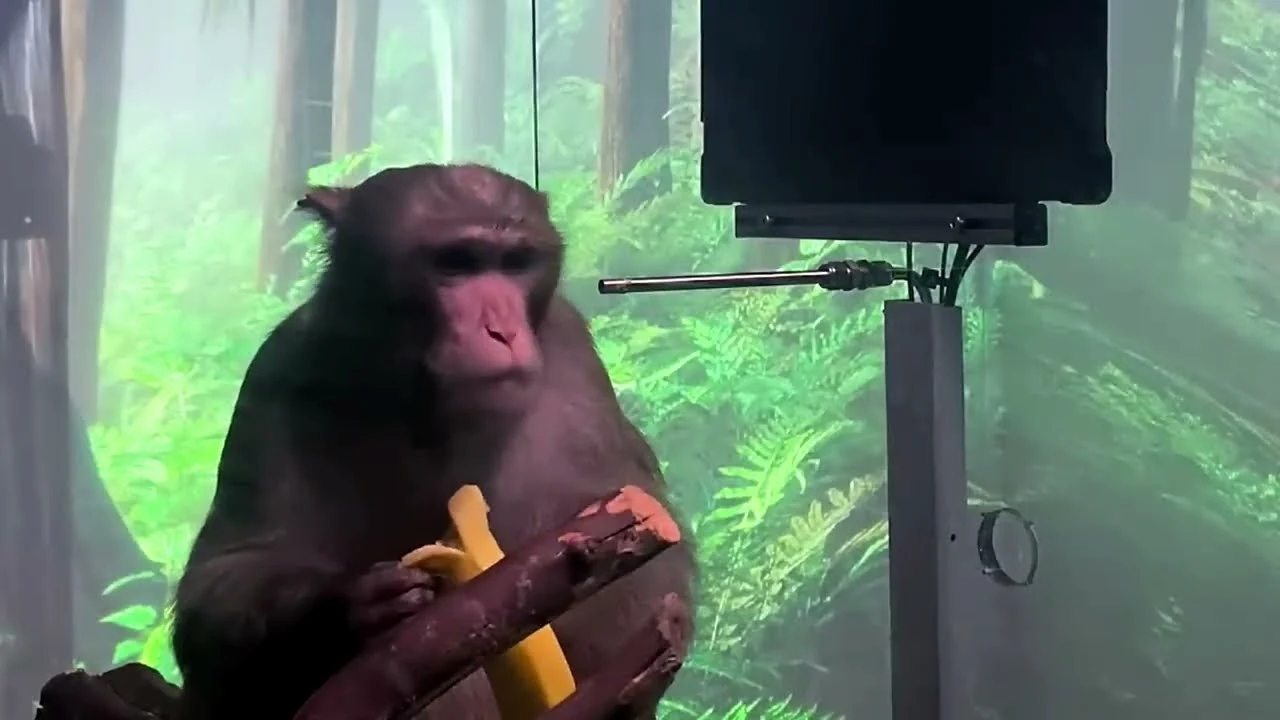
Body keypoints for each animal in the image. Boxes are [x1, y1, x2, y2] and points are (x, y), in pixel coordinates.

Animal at [170, 163, 695, 720]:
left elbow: (642, 565)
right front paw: (349, 604)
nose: (502, 330)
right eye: (455, 263)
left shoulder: (575, 363)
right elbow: (225, 582)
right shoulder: (281, 373)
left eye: (515, 263)